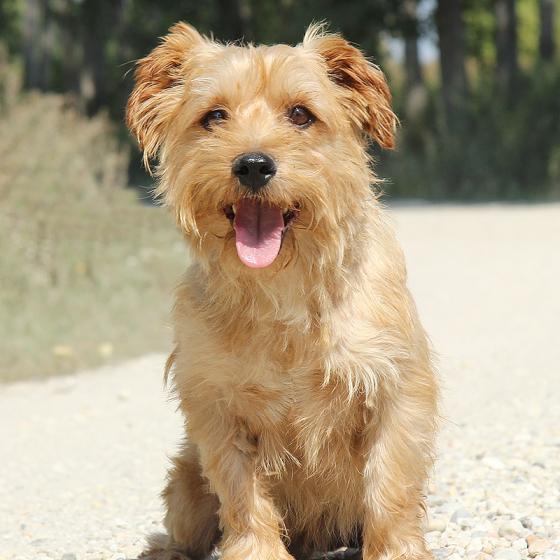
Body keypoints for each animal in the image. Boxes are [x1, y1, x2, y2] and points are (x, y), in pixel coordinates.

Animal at [126, 21, 438, 560]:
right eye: (214, 116)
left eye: (300, 114)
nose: (253, 164)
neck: (283, 289)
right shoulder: (217, 407)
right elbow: (242, 495)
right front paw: (255, 551)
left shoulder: (397, 386)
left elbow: (390, 484)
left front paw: (396, 550)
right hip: (186, 484)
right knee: (182, 527)